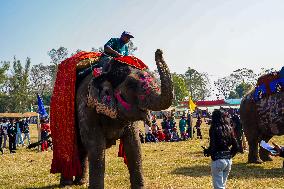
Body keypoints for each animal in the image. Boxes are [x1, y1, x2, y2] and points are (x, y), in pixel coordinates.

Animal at [58, 49, 172, 188]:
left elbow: (134, 146)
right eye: (131, 85)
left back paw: (81, 182)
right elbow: (96, 147)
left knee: (82, 150)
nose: (159, 51)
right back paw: (66, 184)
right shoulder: (87, 107)